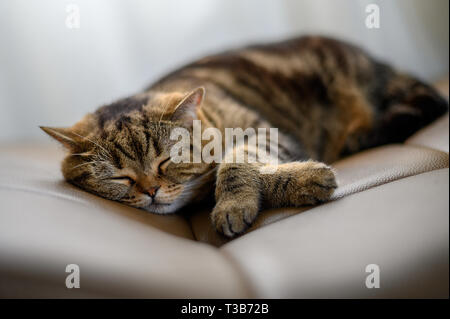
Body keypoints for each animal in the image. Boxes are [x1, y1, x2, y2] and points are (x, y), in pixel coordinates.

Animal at [41, 36, 446, 239]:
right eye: (120, 177)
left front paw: (234, 205)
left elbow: (236, 163)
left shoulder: (264, 131)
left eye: (166, 162)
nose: (151, 191)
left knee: (432, 101)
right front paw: (305, 180)